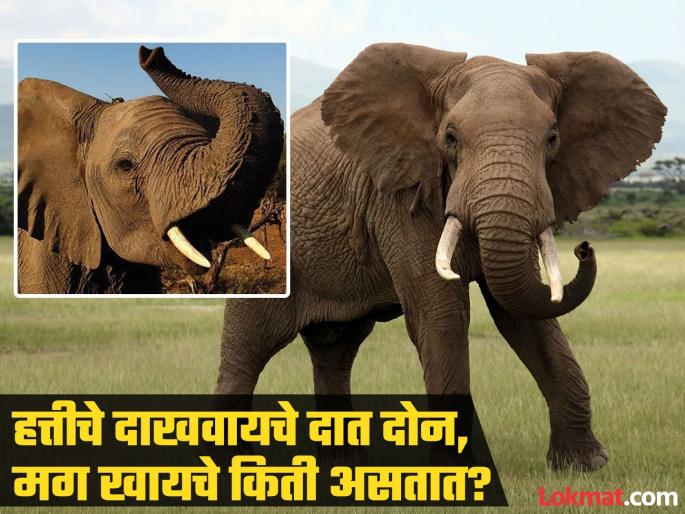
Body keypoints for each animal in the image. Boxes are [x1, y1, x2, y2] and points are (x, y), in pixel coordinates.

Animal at [218, 44, 666, 471]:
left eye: (553, 138)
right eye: (450, 137)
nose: (584, 248)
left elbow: (524, 315)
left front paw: (585, 466)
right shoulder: (400, 197)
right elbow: (442, 315)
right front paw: (457, 479)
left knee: (335, 350)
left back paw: (342, 470)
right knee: (249, 348)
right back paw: (233, 469)